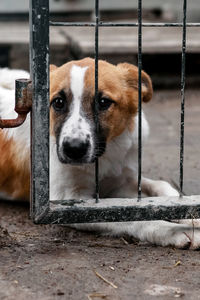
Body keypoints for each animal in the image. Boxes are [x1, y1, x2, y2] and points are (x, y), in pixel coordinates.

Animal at [0, 58, 200, 248]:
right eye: (58, 102)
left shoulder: (121, 181)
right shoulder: (68, 202)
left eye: (103, 102)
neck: (104, 157)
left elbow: (161, 187)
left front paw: (189, 212)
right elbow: (134, 218)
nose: (74, 148)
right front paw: (174, 231)